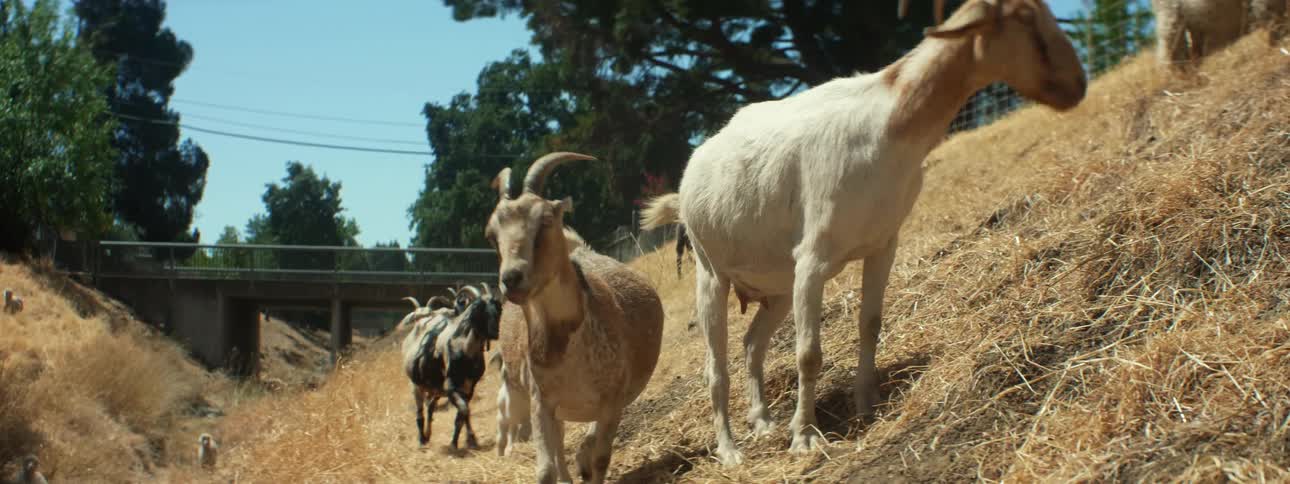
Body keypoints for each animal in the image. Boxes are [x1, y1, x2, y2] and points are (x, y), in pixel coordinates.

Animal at [401, 283, 503, 449]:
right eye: (478, 307)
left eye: (498, 306)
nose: (494, 332)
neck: (465, 349)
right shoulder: (450, 387)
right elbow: (463, 410)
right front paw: (457, 442)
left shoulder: (469, 387)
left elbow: (464, 412)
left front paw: (467, 439)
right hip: (416, 385)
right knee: (420, 413)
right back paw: (422, 439)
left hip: (436, 389)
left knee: (430, 408)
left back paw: (428, 434)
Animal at [486, 152, 665, 484]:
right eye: (491, 235)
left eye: (545, 220)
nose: (511, 279)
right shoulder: (542, 402)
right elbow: (547, 470)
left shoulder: (612, 398)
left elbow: (601, 458)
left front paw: (588, 463)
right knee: (559, 450)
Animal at [640, 0, 1086, 466]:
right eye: (1026, 20)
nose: (1077, 85)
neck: (890, 124)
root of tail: (687, 181)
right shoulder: (812, 261)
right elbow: (808, 354)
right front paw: (805, 437)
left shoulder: (882, 245)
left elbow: (870, 324)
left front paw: (865, 405)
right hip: (712, 275)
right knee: (715, 368)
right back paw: (730, 450)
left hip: (776, 287)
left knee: (751, 345)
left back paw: (762, 422)